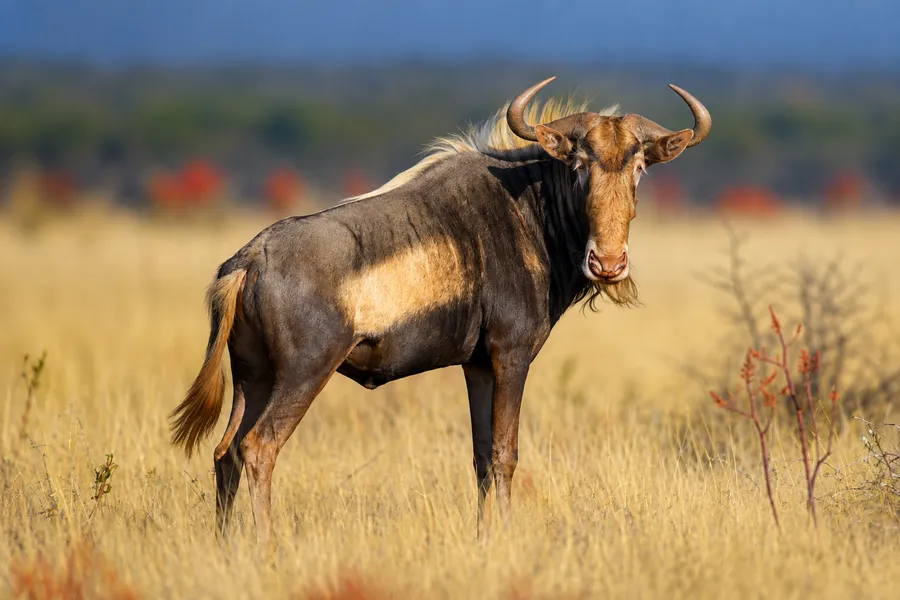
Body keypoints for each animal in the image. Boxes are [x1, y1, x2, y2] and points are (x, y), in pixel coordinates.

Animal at [170, 77, 711, 543]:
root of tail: (250, 259)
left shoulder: (478, 366)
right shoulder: (512, 356)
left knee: (225, 452)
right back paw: (267, 546)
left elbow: (481, 458)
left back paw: (227, 547)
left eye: (639, 168)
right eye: (579, 165)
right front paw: (506, 537)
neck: (529, 211)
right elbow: (506, 453)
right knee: (258, 448)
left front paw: (484, 536)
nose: (608, 264)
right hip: (303, 373)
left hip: (253, 378)